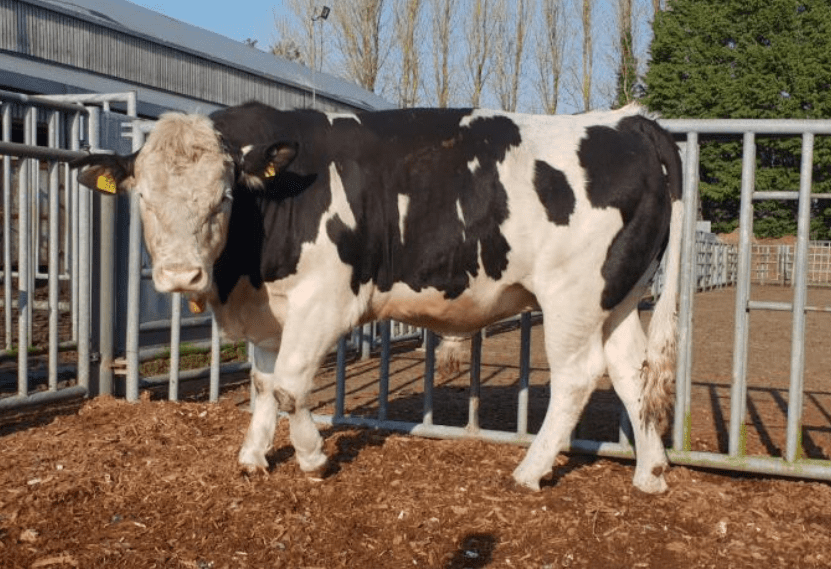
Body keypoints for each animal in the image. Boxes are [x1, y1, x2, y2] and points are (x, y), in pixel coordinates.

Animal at [72, 101, 683, 494]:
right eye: (144, 198)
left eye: (223, 197)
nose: (180, 274)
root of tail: (627, 120)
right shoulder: (272, 312)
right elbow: (265, 386)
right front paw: (252, 457)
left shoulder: (326, 300)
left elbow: (290, 387)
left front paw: (313, 457)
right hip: (618, 297)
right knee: (631, 370)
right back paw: (650, 473)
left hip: (572, 295)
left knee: (578, 376)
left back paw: (530, 471)